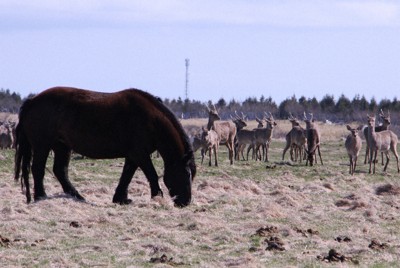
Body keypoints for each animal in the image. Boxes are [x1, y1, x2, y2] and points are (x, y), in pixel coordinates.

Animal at [14, 87, 196, 206]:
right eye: (186, 174)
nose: (185, 202)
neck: (151, 119)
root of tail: (32, 101)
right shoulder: (140, 154)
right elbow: (151, 174)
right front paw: (157, 197)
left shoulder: (133, 156)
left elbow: (126, 176)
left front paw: (121, 199)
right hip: (42, 146)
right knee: (38, 169)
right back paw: (41, 196)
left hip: (62, 146)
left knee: (60, 170)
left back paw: (77, 196)